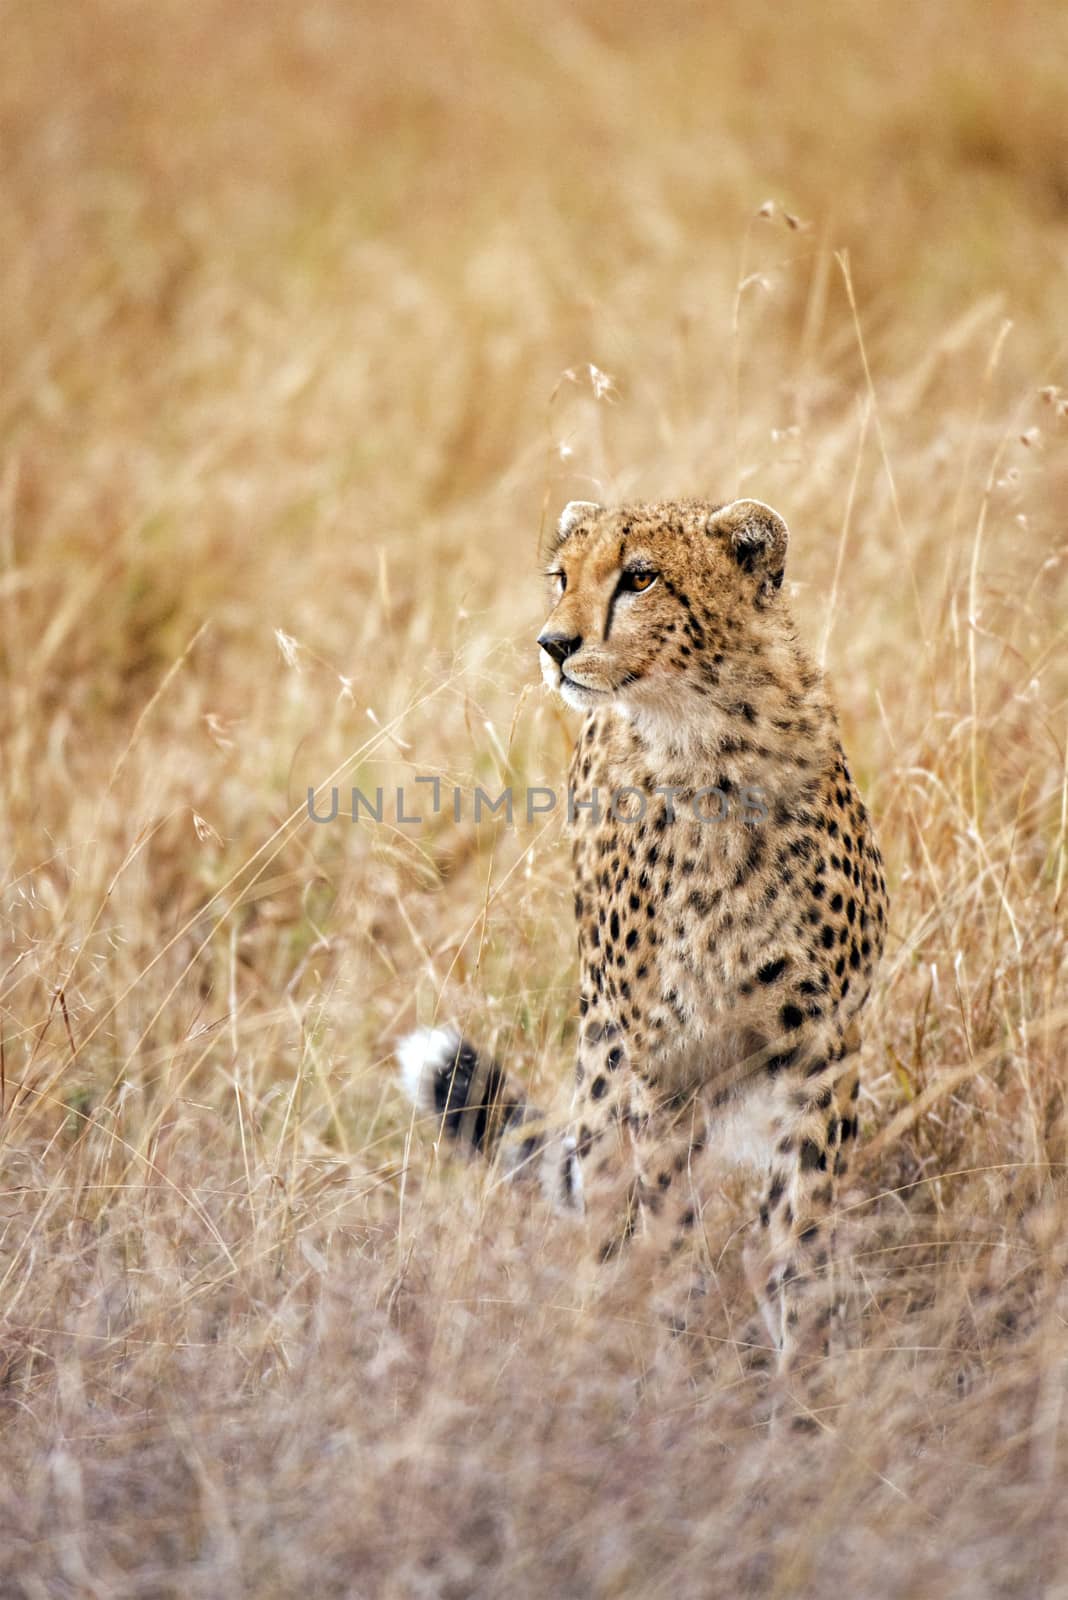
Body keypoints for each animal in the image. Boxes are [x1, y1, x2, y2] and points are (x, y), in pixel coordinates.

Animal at [396, 499, 888, 1388]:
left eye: (640, 578)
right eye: (562, 577)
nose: (554, 645)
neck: (709, 745)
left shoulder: (823, 1050)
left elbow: (799, 1236)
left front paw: (807, 1386)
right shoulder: (663, 1066)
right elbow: (666, 1229)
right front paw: (669, 1371)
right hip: (606, 1079)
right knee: (609, 1216)